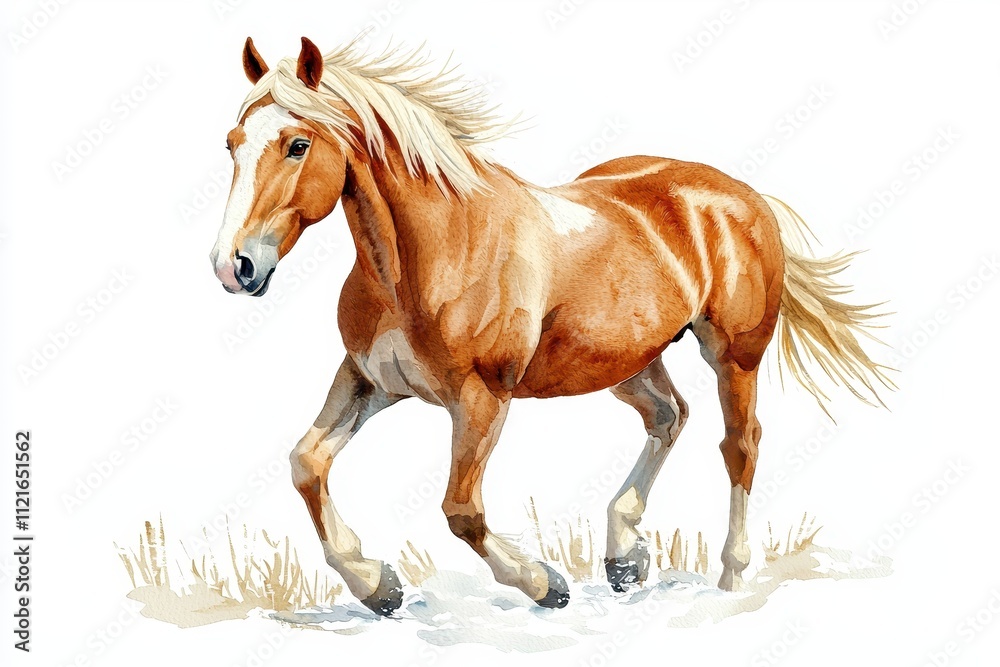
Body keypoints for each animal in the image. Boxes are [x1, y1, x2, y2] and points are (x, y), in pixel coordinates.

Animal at [210, 36, 893, 616]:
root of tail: (743, 195)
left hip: (734, 355)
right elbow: (306, 464)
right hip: (627, 360)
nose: (233, 266)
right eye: (232, 143)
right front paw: (376, 585)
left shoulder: (481, 398)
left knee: (739, 445)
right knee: (668, 416)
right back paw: (624, 557)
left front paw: (545, 585)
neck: (429, 253)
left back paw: (729, 578)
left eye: (297, 145)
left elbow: (461, 509)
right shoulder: (369, 380)